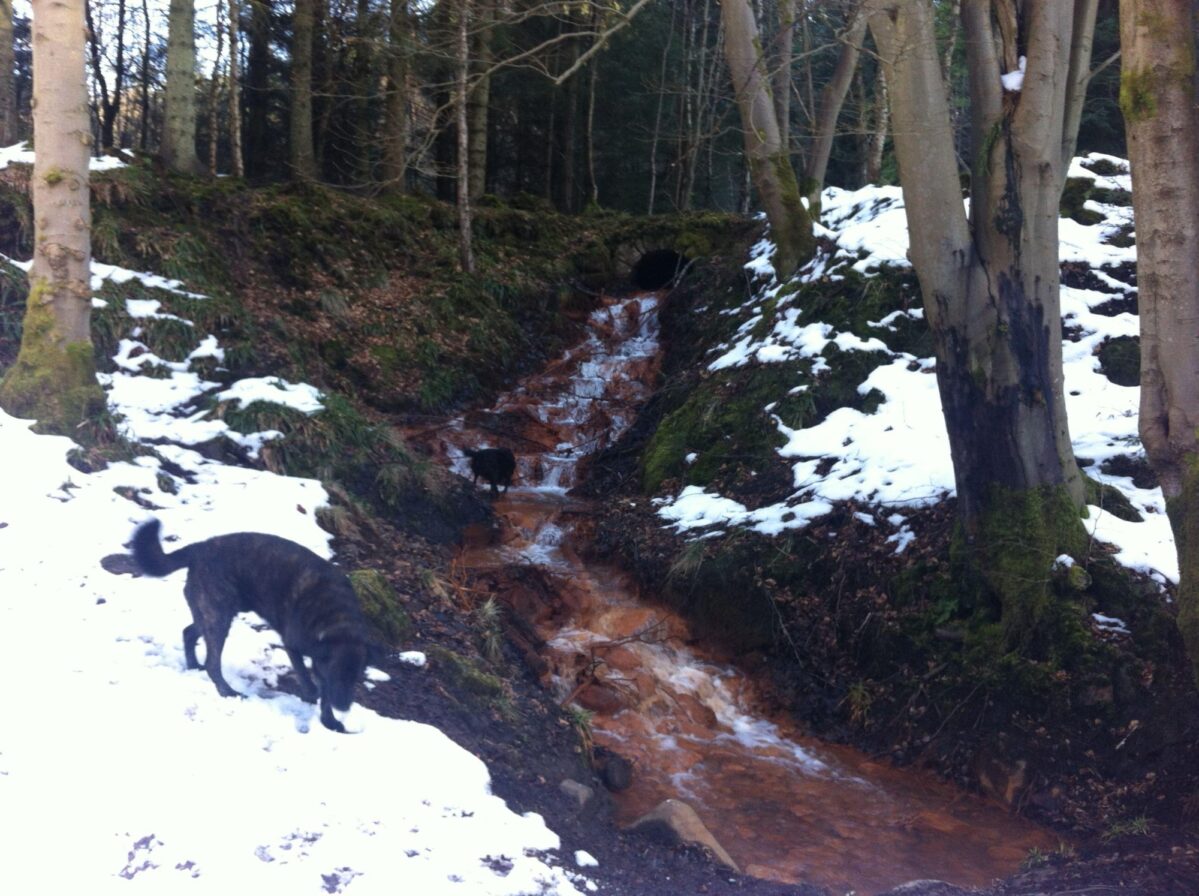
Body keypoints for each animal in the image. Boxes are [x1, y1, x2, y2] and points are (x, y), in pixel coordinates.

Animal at [130, 515, 376, 734]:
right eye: (337, 675)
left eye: (356, 677)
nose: (343, 707)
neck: (338, 618)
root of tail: (201, 547)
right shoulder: (293, 646)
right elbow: (311, 681)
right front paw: (311, 696)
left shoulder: (321, 660)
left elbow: (324, 692)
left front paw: (329, 722)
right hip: (218, 616)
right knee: (212, 662)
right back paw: (227, 691)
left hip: (214, 613)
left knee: (189, 633)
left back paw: (193, 665)